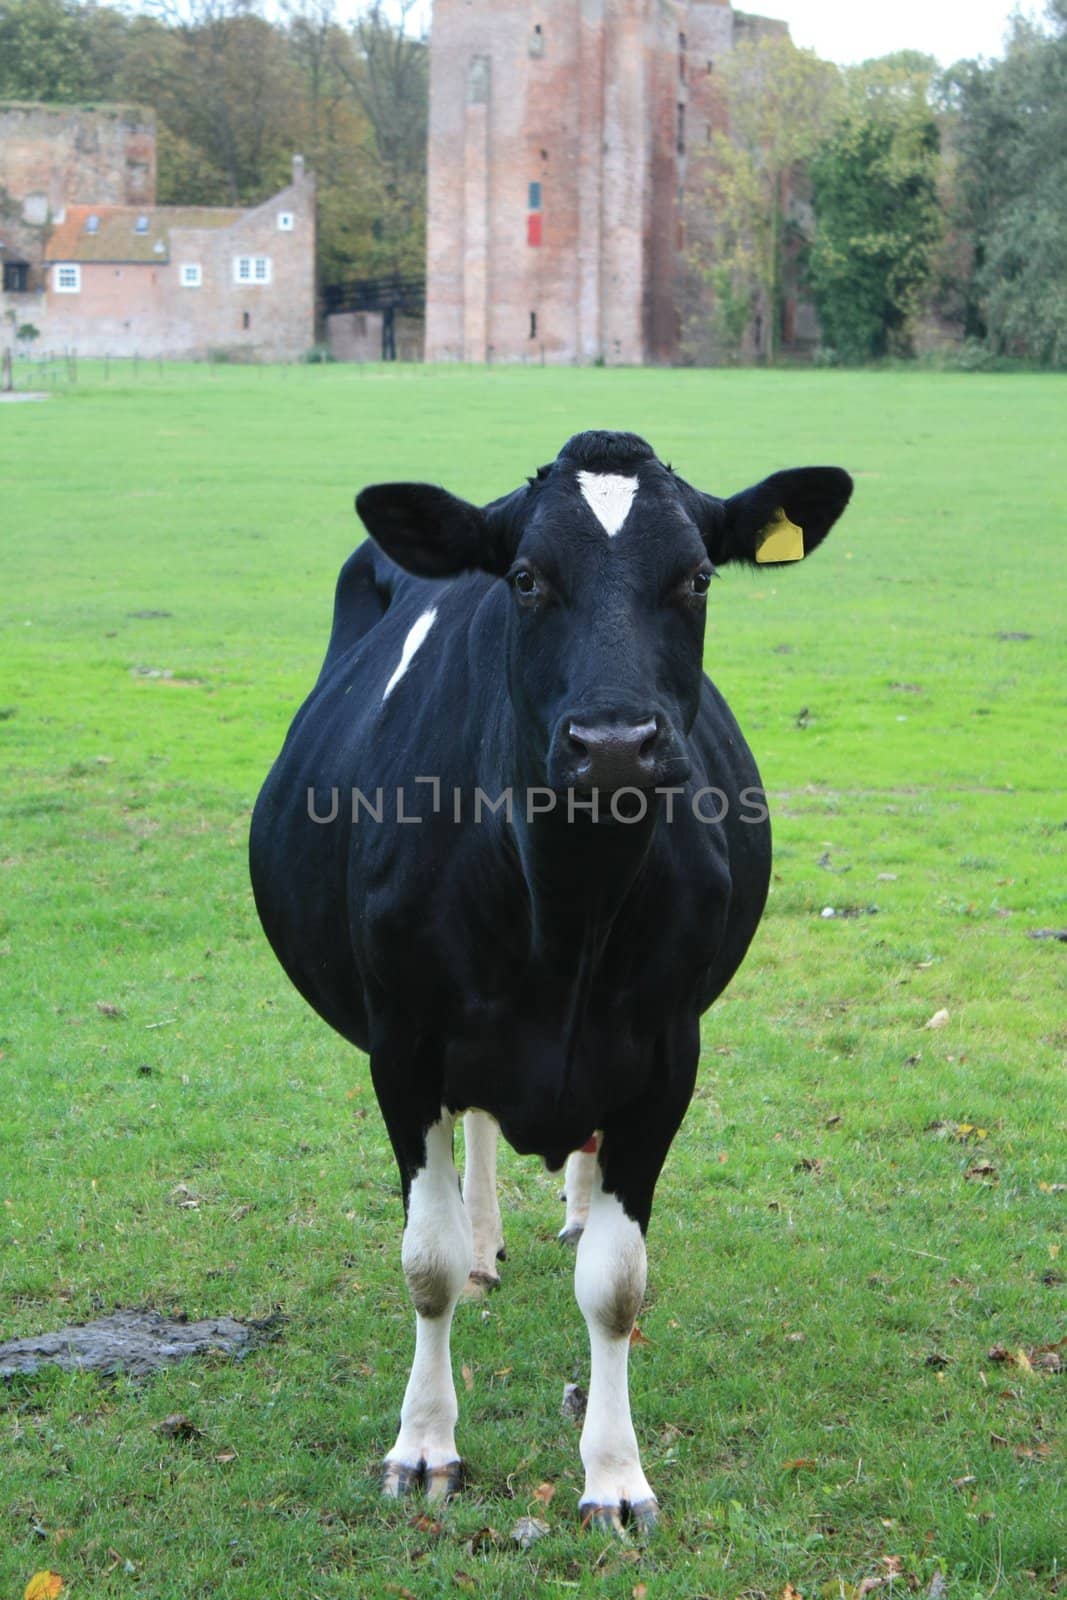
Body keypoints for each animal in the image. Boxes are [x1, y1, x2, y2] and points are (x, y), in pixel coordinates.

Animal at [247, 432, 851, 1529]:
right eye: (525, 579)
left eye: (696, 578)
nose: (613, 743)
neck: (567, 913)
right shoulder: (403, 1048)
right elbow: (426, 1263)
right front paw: (422, 1446)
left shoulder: (664, 1057)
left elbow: (615, 1285)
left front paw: (613, 1476)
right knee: (475, 1142)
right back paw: (486, 1240)